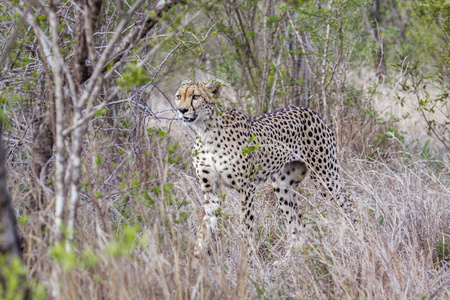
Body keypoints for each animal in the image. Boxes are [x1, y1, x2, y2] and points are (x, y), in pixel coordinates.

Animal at [176, 80, 352, 258]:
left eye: (196, 96)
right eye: (179, 96)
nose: (182, 110)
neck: (205, 131)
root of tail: (310, 110)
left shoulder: (246, 188)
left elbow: (246, 227)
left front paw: (247, 259)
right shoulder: (211, 191)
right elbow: (204, 228)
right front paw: (196, 258)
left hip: (324, 177)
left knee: (349, 202)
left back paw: (355, 238)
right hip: (283, 186)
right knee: (297, 224)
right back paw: (287, 261)